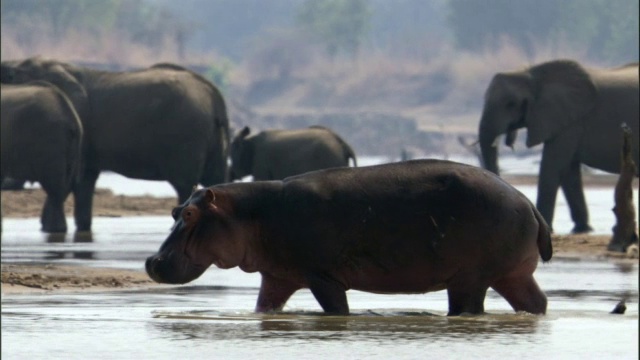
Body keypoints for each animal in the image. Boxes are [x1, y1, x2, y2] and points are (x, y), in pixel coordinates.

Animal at [145, 160, 552, 316]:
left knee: (469, 306)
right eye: (175, 210)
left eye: (190, 215)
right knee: (536, 302)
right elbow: (265, 307)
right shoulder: (277, 276)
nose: (152, 261)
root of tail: (528, 204)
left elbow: (336, 310)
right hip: (513, 274)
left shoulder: (322, 276)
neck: (249, 213)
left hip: (471, 278)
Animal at [478, 59, 636, 233]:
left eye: (510, 104)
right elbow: (568, 171)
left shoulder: (570, 123)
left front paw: (546, 226)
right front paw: (582, 229)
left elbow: (552, 165)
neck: (530, 74)